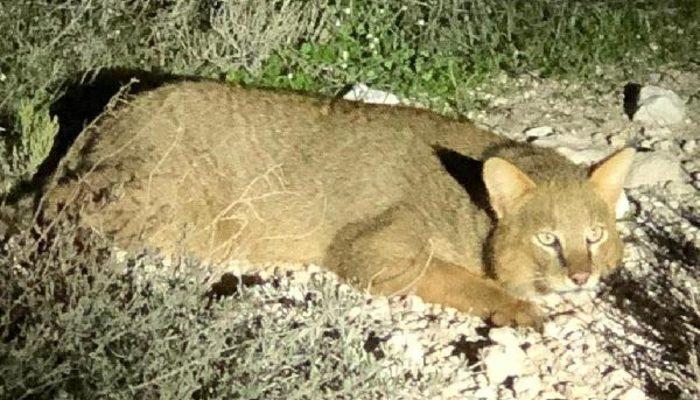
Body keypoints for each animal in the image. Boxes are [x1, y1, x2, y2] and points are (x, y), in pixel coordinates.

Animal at [42, 81, 636, 328]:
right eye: (547, 238)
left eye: (595, 235)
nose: (581, 276)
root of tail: (110, 116)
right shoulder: (369, 249)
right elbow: (456, 277)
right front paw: (513, 306)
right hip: (155, 206)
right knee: (52, 204)